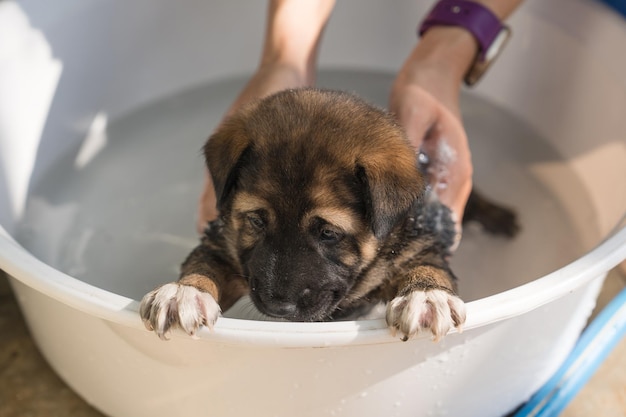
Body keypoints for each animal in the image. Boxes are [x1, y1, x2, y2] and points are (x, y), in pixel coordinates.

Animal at [141, 89, 516, 340]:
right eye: (257, 220)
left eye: (328, 233)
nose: (279, 309)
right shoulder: (224, 244)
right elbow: (204, 265)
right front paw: (183, 292)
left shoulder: (416, 244)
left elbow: (427, 266)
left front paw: (426, 297)